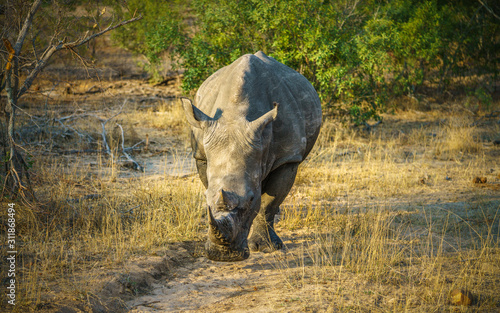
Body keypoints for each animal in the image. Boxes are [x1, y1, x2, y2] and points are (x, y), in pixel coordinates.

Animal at [183, 51, 320, 260]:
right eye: (204, 198)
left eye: (250, 199)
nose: (224, 256)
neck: (235, 114)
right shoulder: (201, 154)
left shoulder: (288, 156)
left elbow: (268, 203)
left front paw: (266, 247)